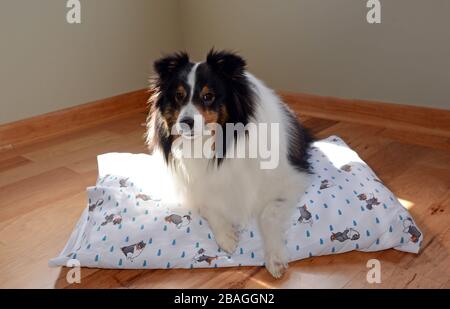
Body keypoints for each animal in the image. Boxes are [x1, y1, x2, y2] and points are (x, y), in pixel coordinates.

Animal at [145, 50, 312, 276]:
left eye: (208, 96)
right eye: (179, 96)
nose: (184, 123)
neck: (216, 146)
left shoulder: (291, 182)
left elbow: (267, 214)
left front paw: (275, 258)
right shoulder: (193, 187)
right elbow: (208, 206)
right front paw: (226, 237)